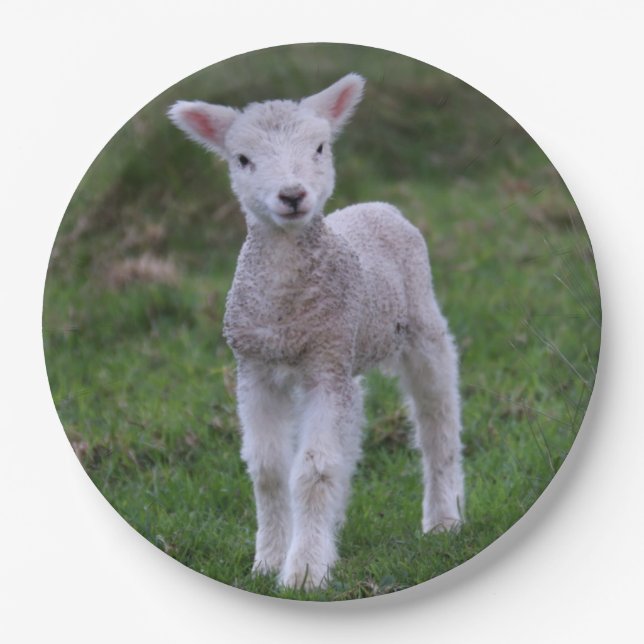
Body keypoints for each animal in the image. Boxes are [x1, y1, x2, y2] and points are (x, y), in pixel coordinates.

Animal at [168, 73, 464, 590]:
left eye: (321, 148)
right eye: (242, 159)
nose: (292, 195)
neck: (286, 308)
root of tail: (379, 206)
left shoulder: (324, 367)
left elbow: (313, 470)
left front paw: (304, 572)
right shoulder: (256, 369)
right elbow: (269, 470)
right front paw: (268, 561)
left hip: (419, 326)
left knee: (437, 420)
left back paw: (443, 518)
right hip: (348, 351)